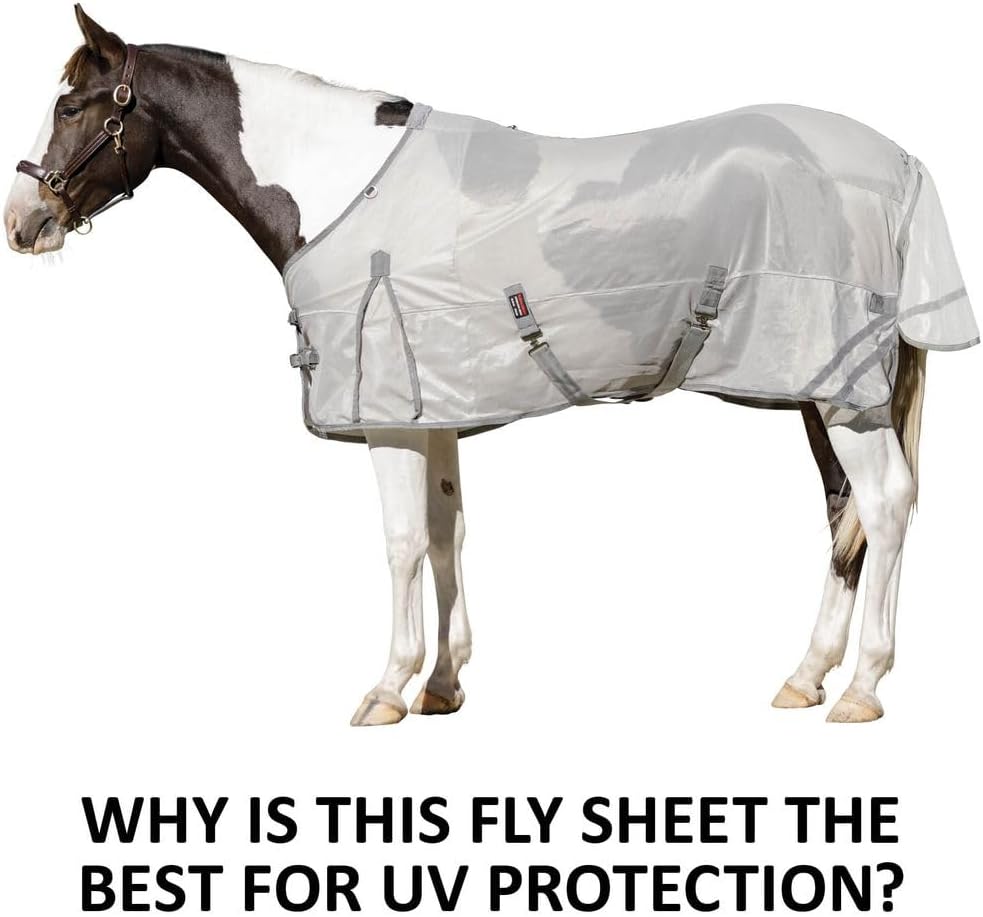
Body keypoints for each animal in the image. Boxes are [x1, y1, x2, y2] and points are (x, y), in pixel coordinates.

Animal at [6, 6, 977, 726]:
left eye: (70, 106)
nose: (23, 222)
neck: (339, 186)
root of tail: (899, 162)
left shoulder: (387, 418)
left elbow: (400, 543)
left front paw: (385, 688)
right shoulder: (434, 408)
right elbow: (446, 534)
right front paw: (442, 684)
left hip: (841, 393)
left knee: (883, 506)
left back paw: (860, 688)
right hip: (821, 391)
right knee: (844, 514)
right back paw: (805, 676)